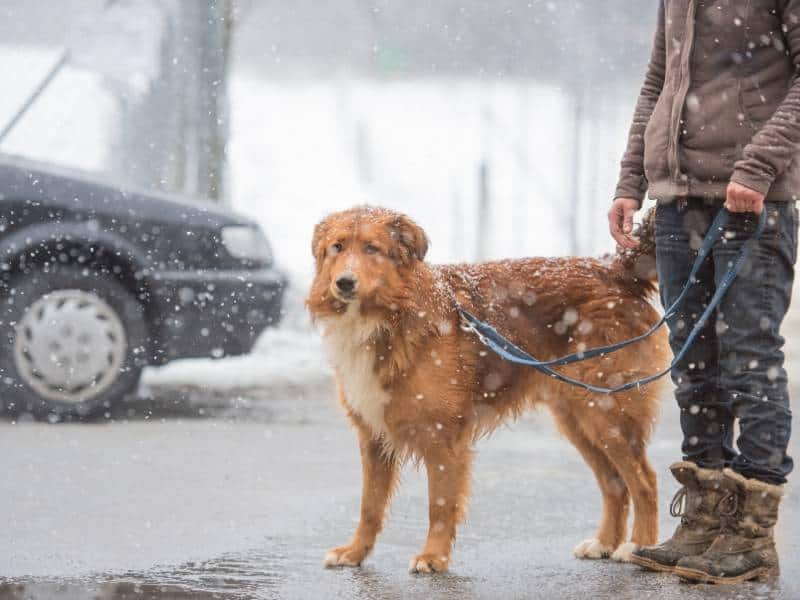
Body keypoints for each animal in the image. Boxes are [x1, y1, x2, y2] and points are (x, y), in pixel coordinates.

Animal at [306, 205, 668, 572]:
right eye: (337, 247)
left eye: (372, 248)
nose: (344, 282)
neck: (385, 318)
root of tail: (615, 272)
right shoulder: (372, 437)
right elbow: (369, 506)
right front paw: (355, 552)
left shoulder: (442, 436)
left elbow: (439, 505)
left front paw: (433, 557)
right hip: (578, 418)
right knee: (614, 485)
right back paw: (604, 543)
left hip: (606, 414)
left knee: (645, 481)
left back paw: (637, 546)